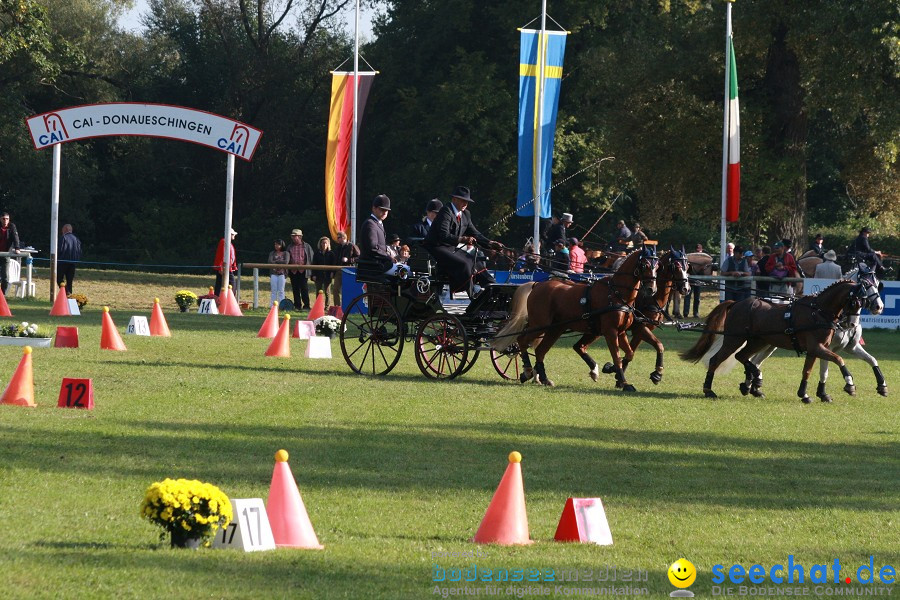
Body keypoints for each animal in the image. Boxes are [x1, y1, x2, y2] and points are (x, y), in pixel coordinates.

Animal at [488, 246, 656, 392]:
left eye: (657, 265)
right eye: (645, 264)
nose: (651, 289)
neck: (616, 293)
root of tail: (537, 284)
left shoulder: (620, 332)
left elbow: (629, 354)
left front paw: (613, 374)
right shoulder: (610, 332)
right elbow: (616, 356)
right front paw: (625, 383)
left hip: (555, 328)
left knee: (540, 350)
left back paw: (544, 378)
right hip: (540, 324)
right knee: (522, 340)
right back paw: (528, 371)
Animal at [600, 248, 692, 384]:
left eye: (687, 266)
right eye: (676, 266)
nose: (686, 288)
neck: (651, 298)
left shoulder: (643, 329)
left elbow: (632, 350)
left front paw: (616, 371)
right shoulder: (639, 328)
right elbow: (658, 345)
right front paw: (657, 374)